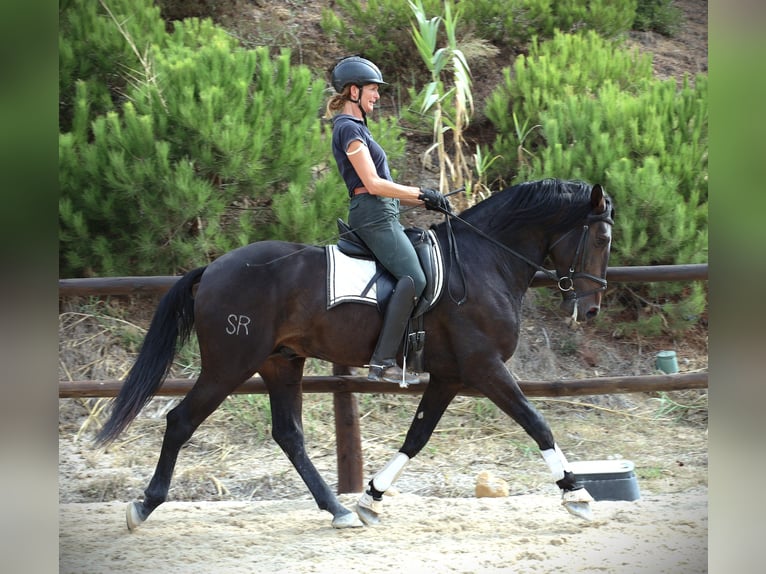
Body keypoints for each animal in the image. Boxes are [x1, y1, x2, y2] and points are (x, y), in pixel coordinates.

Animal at [96, 179, 616, 532]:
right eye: (603, 239)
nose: (590, 309)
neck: (483, 264)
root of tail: (212, 269)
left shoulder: (449, 376)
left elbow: (417, 437)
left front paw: (371, 498)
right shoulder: (484, 367)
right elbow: (536, 422)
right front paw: (577, 494)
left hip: (281, 362)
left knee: (288, 433)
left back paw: (339, 509)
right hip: (230, 364)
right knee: (181, 421)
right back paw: (144, 505)